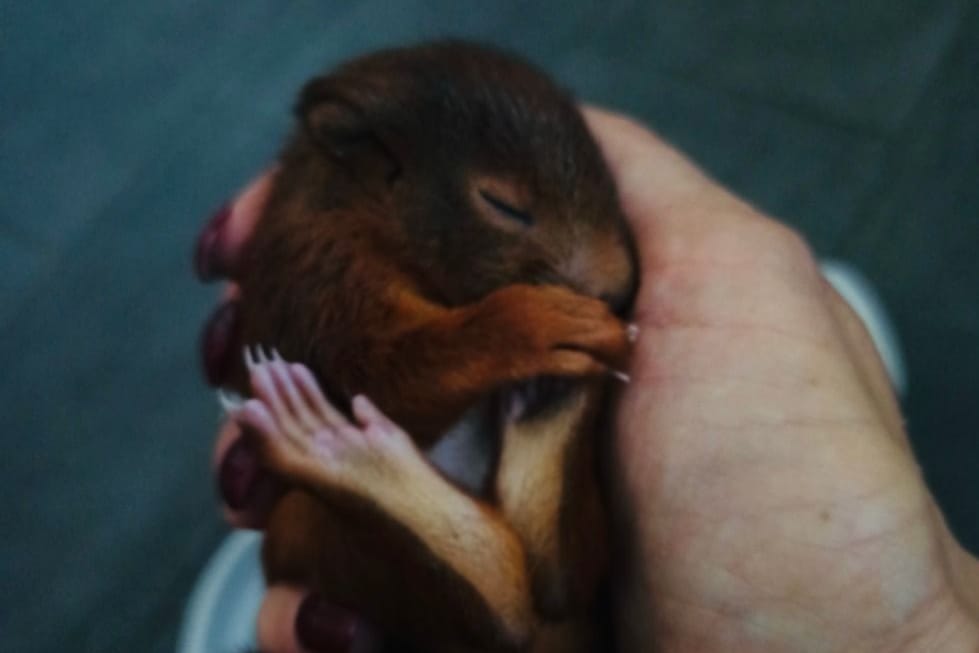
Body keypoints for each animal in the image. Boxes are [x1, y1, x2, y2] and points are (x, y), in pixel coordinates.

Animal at [201, 42, 644, 652]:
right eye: (502, 204)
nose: (619, 290)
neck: (357, 204)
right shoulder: (316, 279)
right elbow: (382, 375)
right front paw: (532, 324)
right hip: (321, 539)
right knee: (503, 615)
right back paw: (323, 440)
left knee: (558, 580)